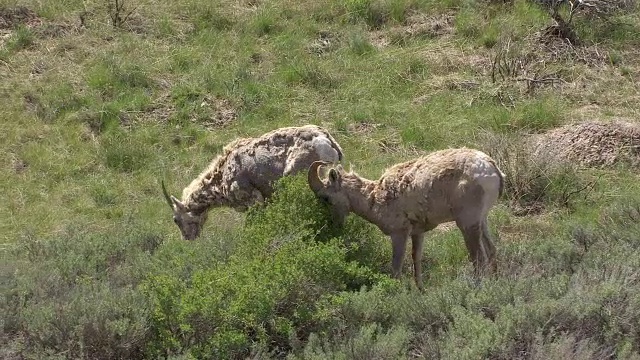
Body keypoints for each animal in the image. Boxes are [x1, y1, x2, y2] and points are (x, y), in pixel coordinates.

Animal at [308, 148, 504, 292]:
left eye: (325, 198)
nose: (334, 225)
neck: (375, 198)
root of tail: (491, 168)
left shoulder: (399, 234)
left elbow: (396, 266)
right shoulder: (417, 233)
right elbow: (416, 259)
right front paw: (420, 290)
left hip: (467, 224)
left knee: (478, 258)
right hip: (481, 221)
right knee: (491, 251)